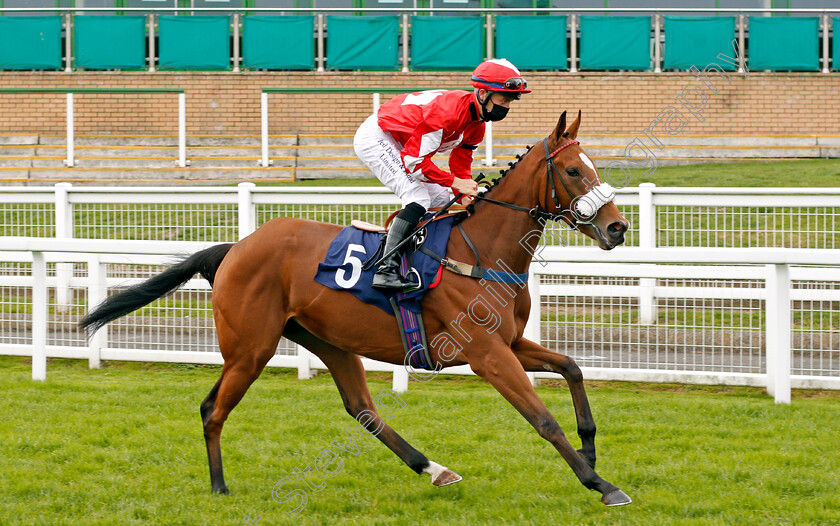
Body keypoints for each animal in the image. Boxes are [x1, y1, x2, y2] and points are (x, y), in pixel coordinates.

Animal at [80, 110, 632, 508]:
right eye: (573, 170)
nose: (617, 228)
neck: (481, 250)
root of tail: (234, 248)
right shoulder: (487, 355)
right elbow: (542, 419)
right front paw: (601, 484)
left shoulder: (511, 342)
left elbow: (572, 368)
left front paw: (590, 447)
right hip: (250, 348)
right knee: (213, 408)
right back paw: (218, 488)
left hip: (328, 341)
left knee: (363, 410)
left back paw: (434, 469)